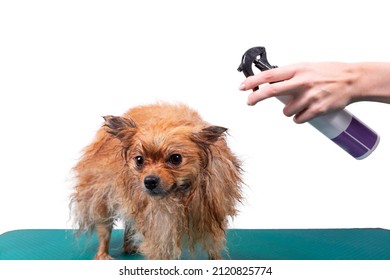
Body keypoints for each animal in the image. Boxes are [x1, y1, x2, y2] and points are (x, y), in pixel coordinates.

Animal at [69, 103, 241, 260]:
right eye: (139, 160)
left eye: (176, 158)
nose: (150, 181)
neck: (178, 195)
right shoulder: (157, 225)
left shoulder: (212, 215)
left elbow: (214, 244)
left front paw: (216, 260)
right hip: (103, 197)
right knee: (105, 228)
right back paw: (103, 254)